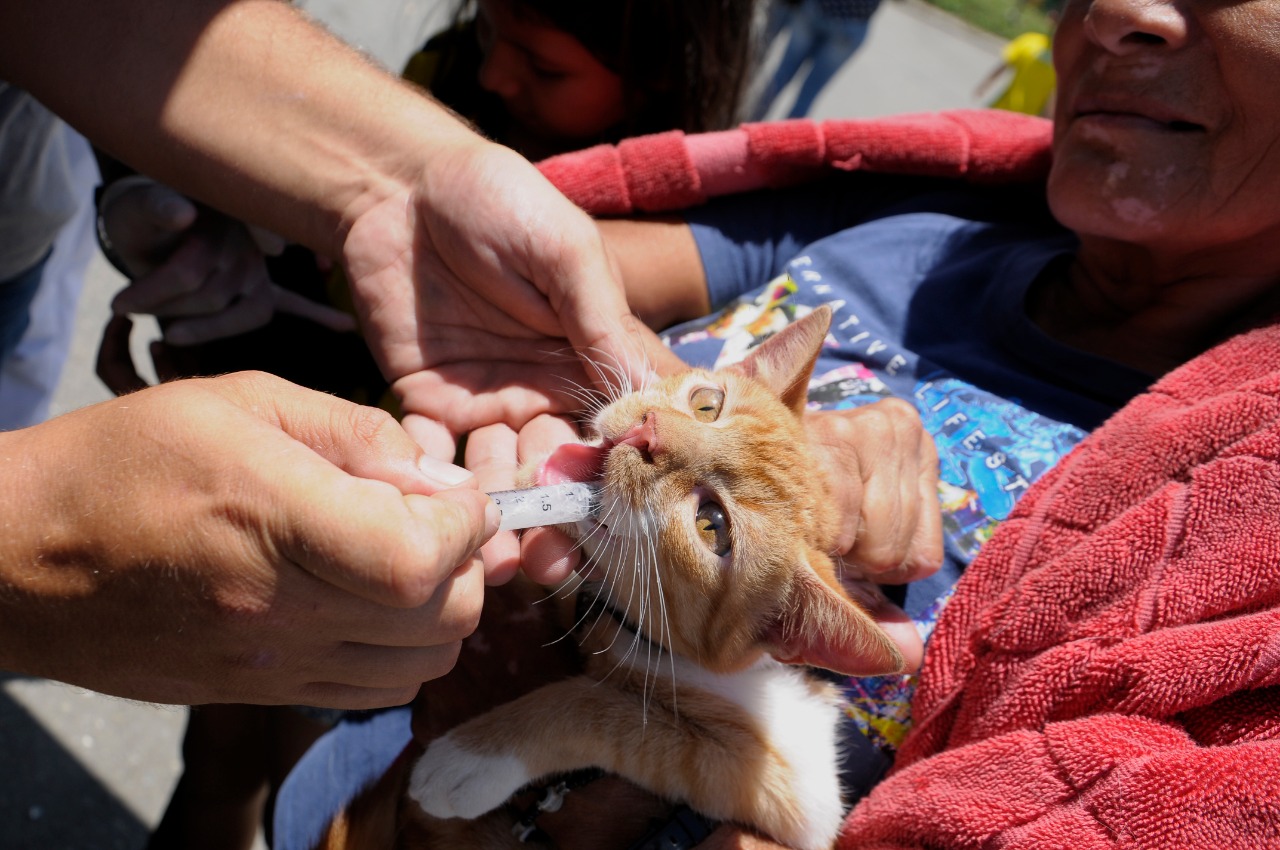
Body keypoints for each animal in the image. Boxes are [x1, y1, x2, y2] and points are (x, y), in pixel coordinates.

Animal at [401, 307, 911, 850]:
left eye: (713, 525)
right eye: (707, 404)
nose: (648, 433)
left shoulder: (796, 786)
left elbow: (609, 711)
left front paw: (473, 757)